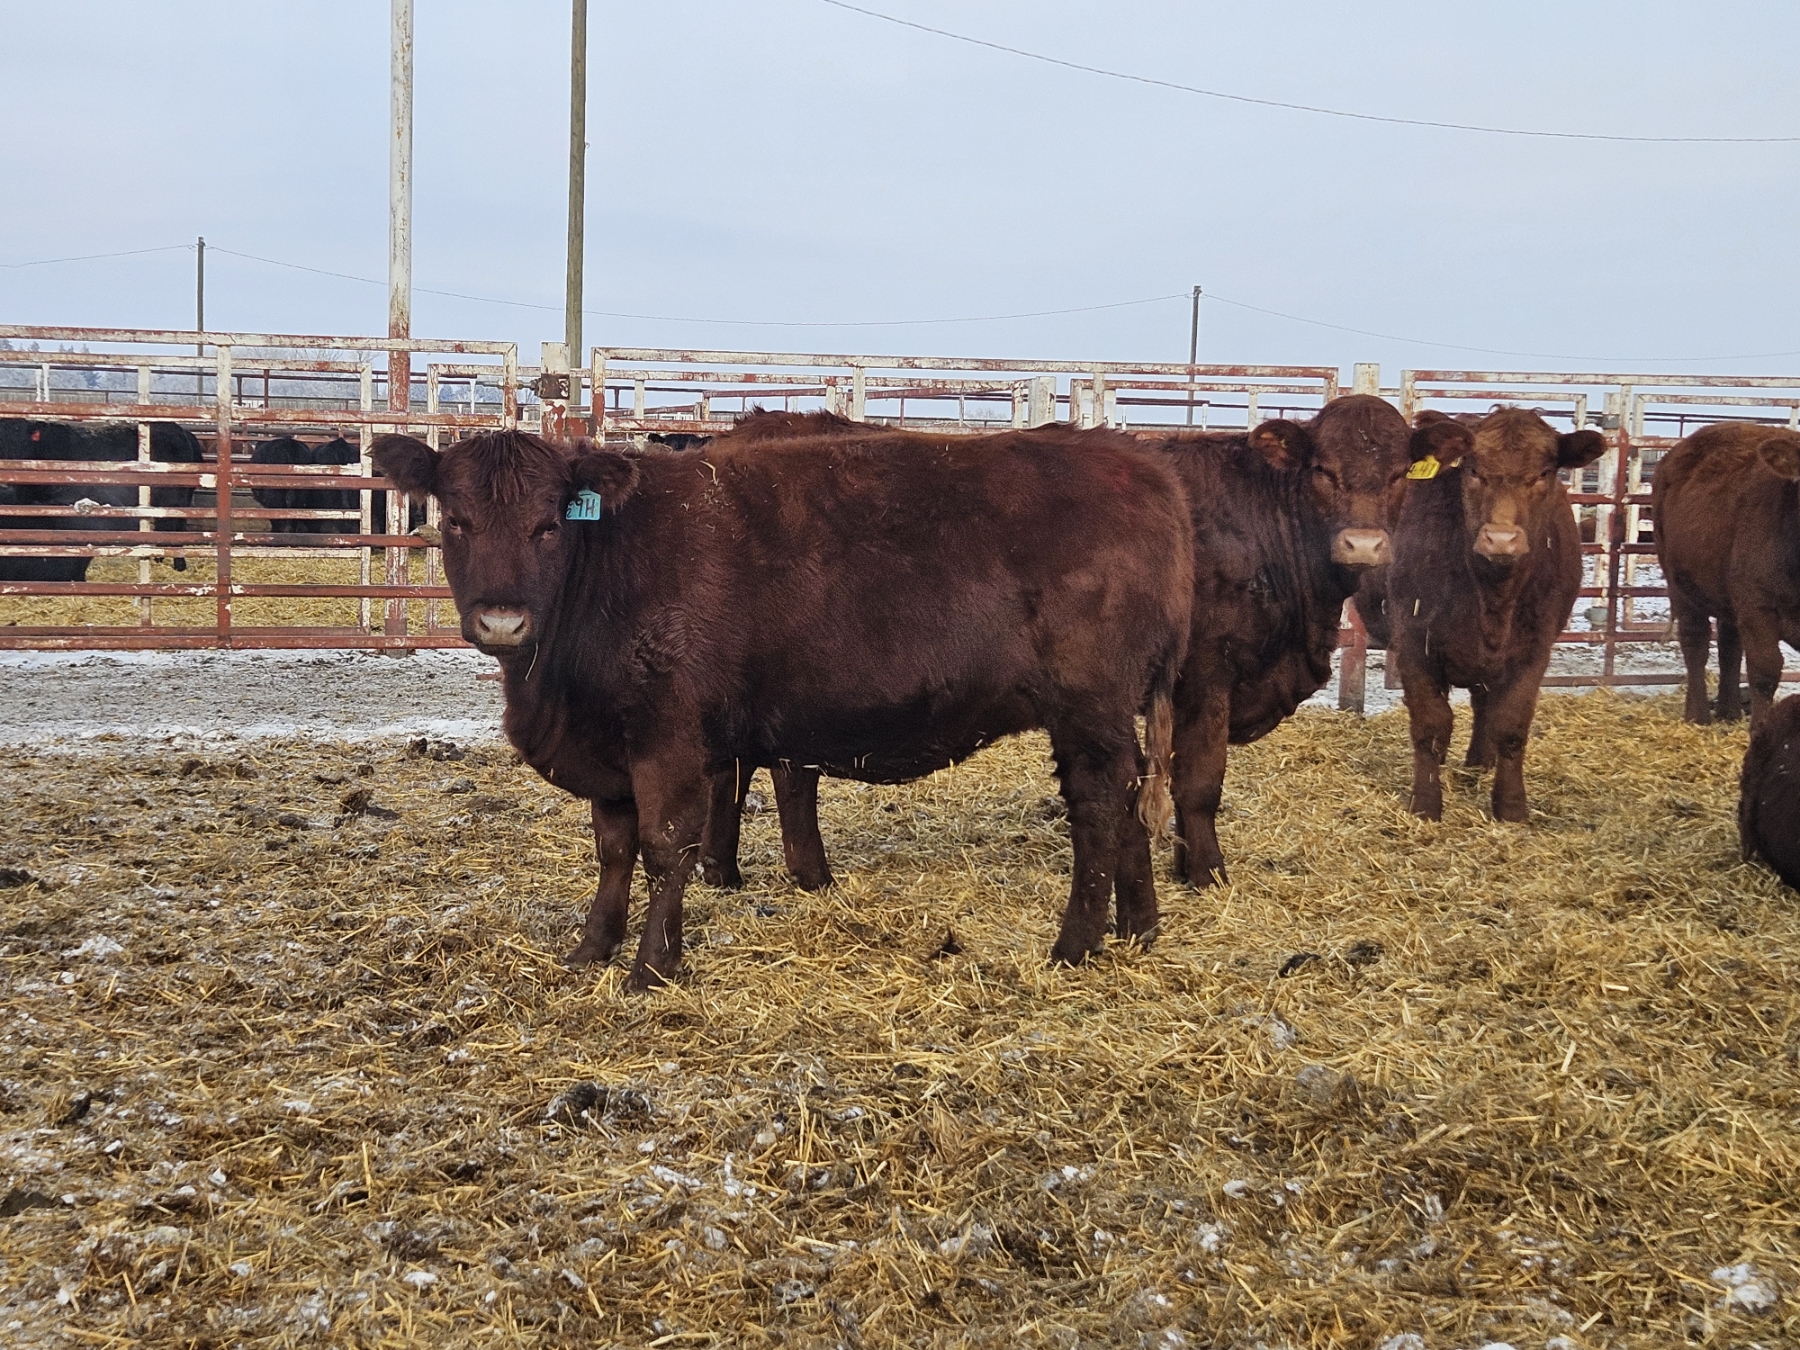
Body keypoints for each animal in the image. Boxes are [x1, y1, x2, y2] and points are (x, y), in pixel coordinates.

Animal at [371, 415, 1192, 992]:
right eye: (455, 520)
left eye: (549, 525)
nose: (501, 621)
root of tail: (1142, 465)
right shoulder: (609, 747)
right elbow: (613, 849)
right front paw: (591, 949)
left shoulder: (669, 736)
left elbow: (667, 845)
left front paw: (652, 965)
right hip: (1114, 714)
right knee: (1130, 801)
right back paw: (1139, 929)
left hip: (1087, 709)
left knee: (1097, 809)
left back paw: (1075, 945)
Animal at [1387, 407, 1606, 821]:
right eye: (1473, 470)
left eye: (1544, 473)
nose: (1501, 539)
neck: (1492, 597)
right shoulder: (1412, 641)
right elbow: (1430, 723)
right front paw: (1425, 803)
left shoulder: (1535, 651)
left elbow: (1511, 725)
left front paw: (1511, 806)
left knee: (1483, 705)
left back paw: (1479, 764)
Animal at [1653, 421, 1800, 725]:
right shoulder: (1757, 605)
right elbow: (1765, 670)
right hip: (1680, 584)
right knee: (1695, 641)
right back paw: (1697, 714)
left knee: (1729, 645)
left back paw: (1729, 711)